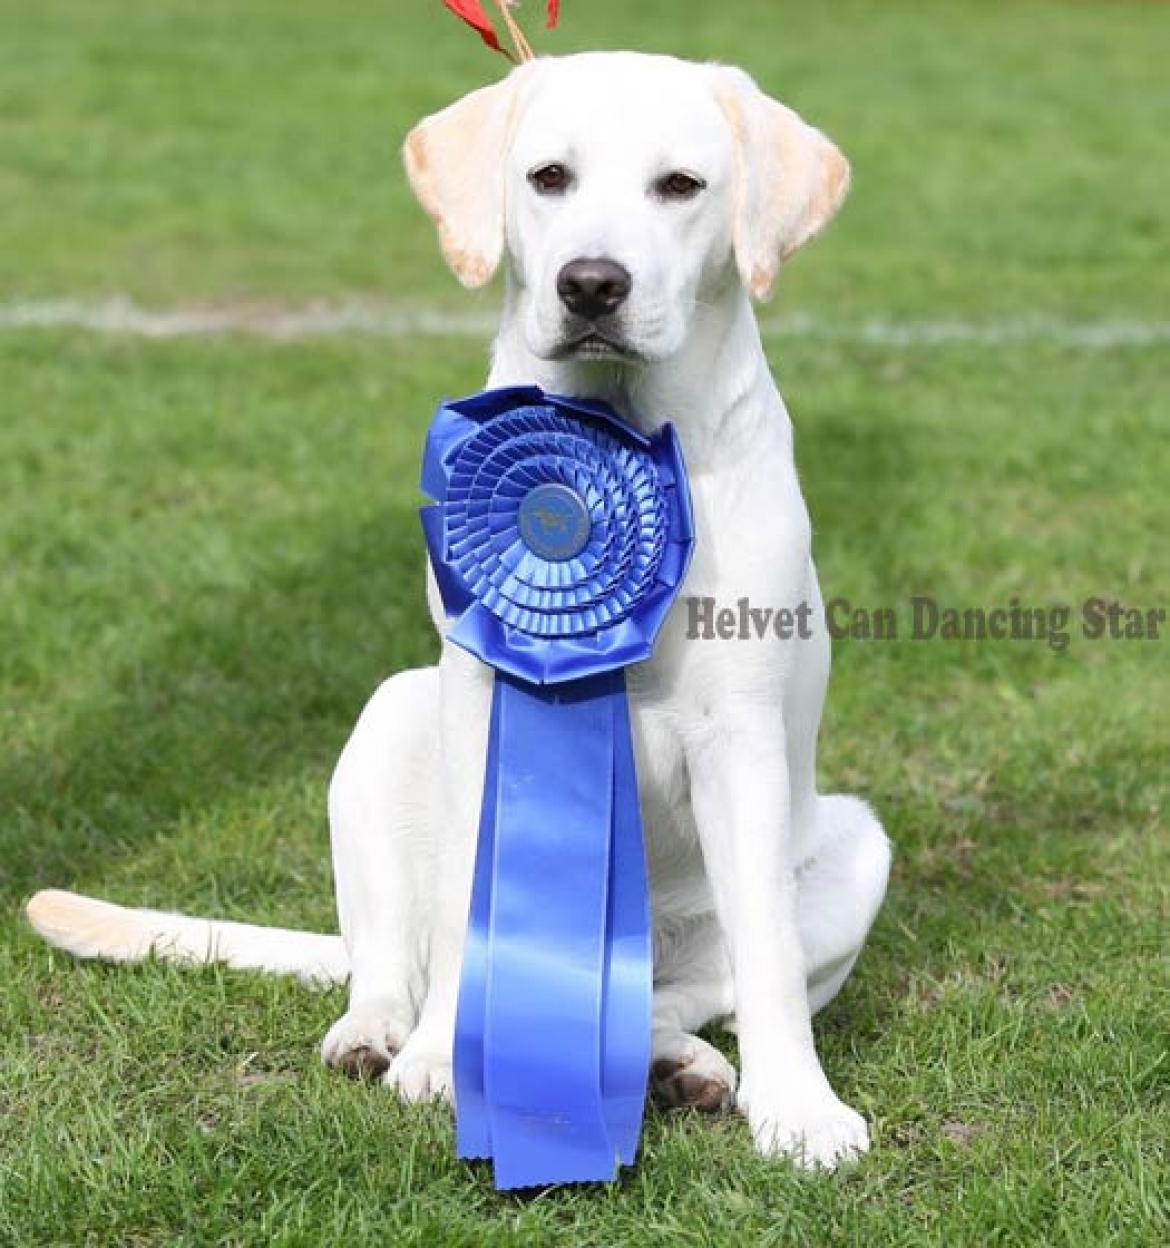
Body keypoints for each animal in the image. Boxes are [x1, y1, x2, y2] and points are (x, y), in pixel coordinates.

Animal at [25, 53, 883, 1168]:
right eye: (550, 177)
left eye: (682, 186)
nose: (591, 284)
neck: (614, 427)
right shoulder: (481, 694)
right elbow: (466, 908)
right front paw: (442, 1062)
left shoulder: (739, 729)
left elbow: (768, 962)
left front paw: (799, 1111)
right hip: (388, 724)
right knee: (393, 958)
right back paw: (380, 1034)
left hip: (857, 849)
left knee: (680, 995)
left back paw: (676, 1065)